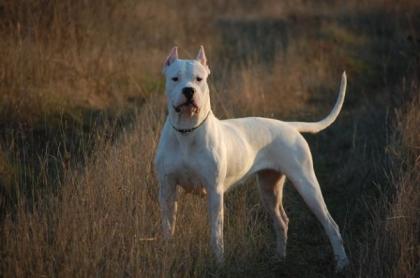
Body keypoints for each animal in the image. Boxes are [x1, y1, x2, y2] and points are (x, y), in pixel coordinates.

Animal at [156, 46, 350, 272]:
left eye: (199, 79)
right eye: (175, 78)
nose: (189, 91)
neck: (187, 131)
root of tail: (289, 126)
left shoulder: (214, 191)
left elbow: (216, 233)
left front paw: (219, 263)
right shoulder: (167, 189)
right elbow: (168, 227)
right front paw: (167, 254)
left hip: (307, 185)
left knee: (330, 224)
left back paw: (342, 262)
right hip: (269, 189)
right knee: (282, 221)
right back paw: (279, 257)